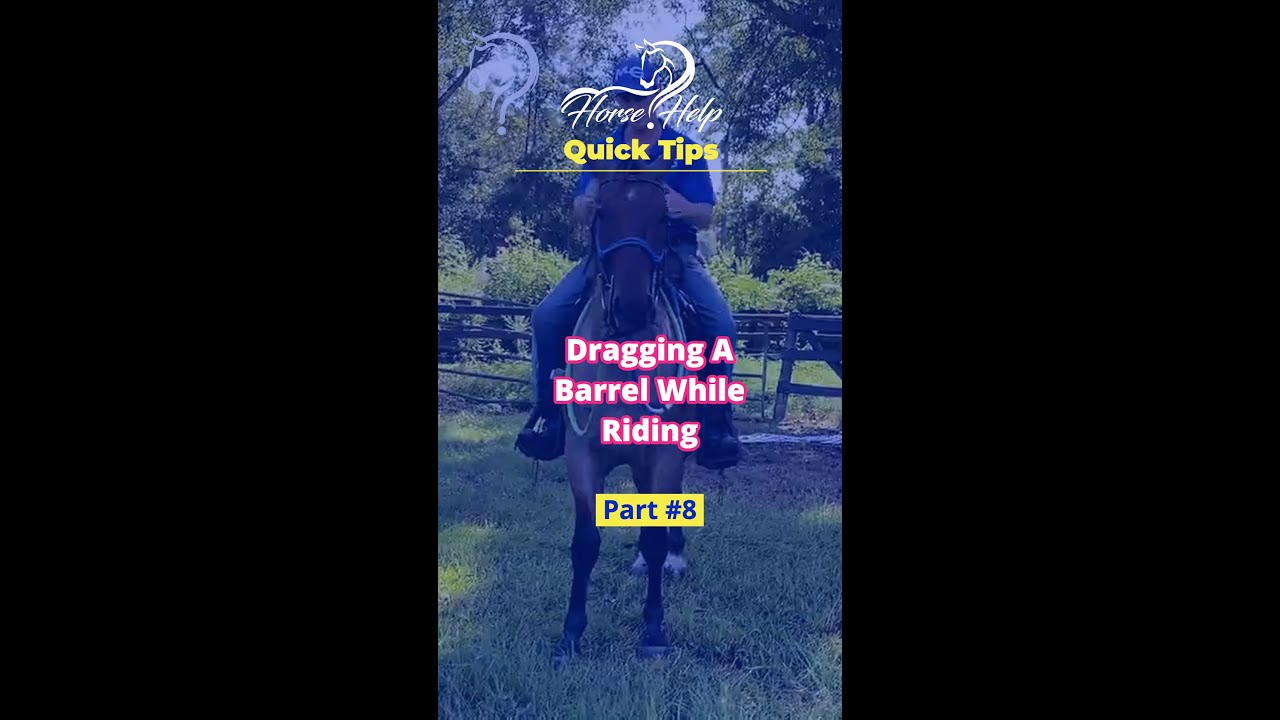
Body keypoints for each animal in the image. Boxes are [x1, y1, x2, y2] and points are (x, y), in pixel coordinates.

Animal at [551, 154, 696, 669]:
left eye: (664, 219)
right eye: (602, 215)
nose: (631, 309)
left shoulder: (665, 455)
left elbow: (654, 537)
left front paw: (653, 632)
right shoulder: (581, 456)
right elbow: (585, 543)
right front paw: (571, 635)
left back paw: (673, 557)